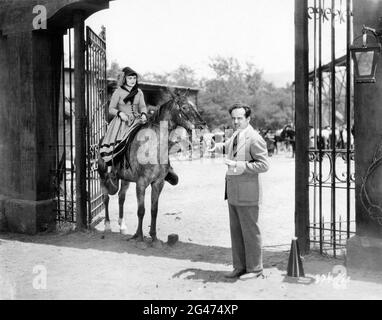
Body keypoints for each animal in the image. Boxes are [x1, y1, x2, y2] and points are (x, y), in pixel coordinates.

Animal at [97, 91, 206, 244]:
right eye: (184, 107)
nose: (202, 125)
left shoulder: (158, 183)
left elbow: (154, 210)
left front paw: (154, 236)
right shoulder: (141, 183)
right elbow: (141, 210)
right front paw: (139, 236)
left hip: (125, 180)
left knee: (121, 198)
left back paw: (122, 226)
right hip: (102, 174)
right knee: (106, 197)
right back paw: (107, 225)